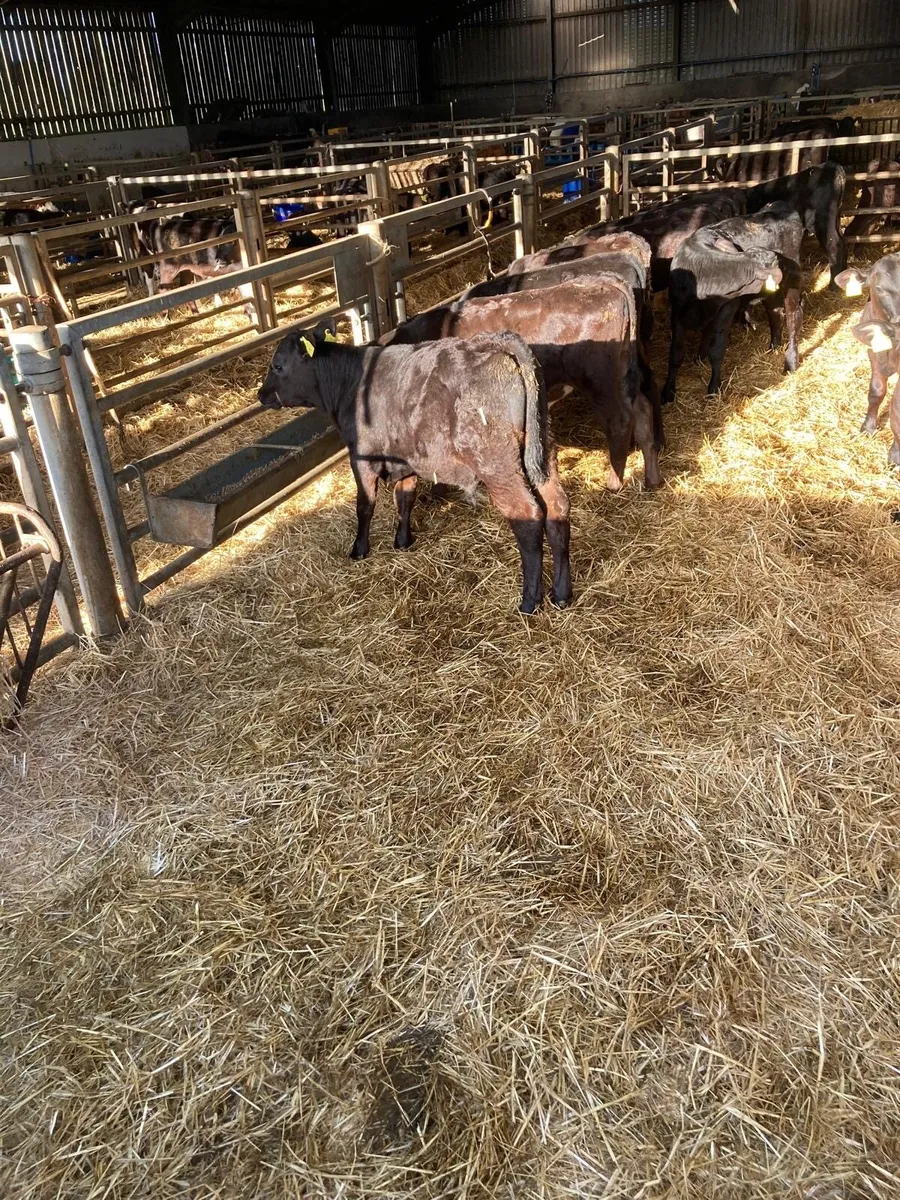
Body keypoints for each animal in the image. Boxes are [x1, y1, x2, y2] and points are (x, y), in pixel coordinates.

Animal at [257, 322, 572, 613]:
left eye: (278, 365)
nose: (262, 394)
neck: (348, 382)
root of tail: (496, 343)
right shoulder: (406, 457)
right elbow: (405, 498)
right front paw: (403, 541)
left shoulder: (361, 459)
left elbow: (365, 506)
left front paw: (359, 549)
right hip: (542, 452)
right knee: (557, 507)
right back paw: (561, 593)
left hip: (497, 464)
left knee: (528, 516)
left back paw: (530, 600)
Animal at [383, 274, 662, 492]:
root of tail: (600, 282)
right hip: (622, 376)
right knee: (643, 409)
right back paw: (652, 478)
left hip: (601, 380)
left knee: (621, 420)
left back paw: (613, 482)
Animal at [664, 203, 804, 404]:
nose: (790, 268)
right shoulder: (676, 310)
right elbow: (676, 352)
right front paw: (668, 391)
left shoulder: (726, 309)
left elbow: (717, 349)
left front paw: (713, 389)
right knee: (774, 312)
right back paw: (774, 347)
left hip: (792, 287)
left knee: (793, 319)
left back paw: (790, 362)